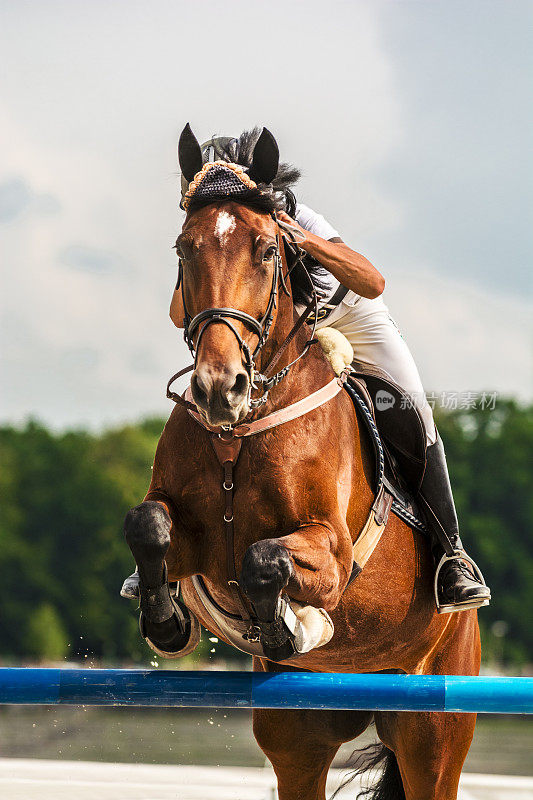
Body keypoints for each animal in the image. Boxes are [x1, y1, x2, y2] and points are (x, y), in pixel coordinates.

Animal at [123, 128, 478, 800]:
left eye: (267, 251)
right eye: (184, 249)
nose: (219, 388)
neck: (239, 429)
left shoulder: (331, 555)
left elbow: (265, 559)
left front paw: (291, 625)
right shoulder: (189, 538)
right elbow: (149, 525)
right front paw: (166, 619)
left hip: (434, 728)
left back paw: (458, 581)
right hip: (299, 736)